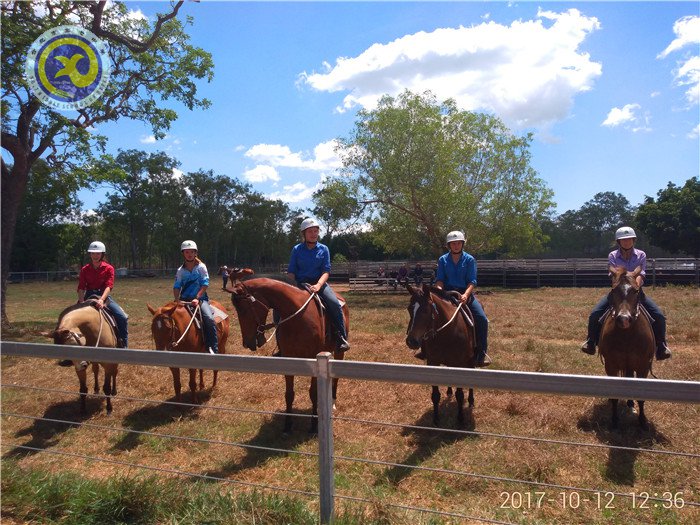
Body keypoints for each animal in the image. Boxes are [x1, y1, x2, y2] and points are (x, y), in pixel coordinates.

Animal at [228, 268, 348, 432]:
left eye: (244, 309)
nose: (247, 343)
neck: (298, 316)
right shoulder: (289, 358)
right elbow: (289, 394)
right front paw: (287, 425)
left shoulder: (315, 359)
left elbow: (313, 393)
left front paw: (313, 424)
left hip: (339, 351)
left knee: (335, 378)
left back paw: (333, 402)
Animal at [404, 282, 476, 426]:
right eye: (409, 309)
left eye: (426, 310)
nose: (411, 341)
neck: (447, 333)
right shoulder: (433, 362)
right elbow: (435, 395)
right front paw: (436, 419)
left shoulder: (459, 364)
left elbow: (460, 395)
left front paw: (460, 419)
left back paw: (471, 401)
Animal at [596, 264, 656, 428]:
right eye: (613, 290)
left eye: (636, 291)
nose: (624, 319)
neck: (627, 335)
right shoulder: (611, 365)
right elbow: (615, 394)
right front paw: (614, 420)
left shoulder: (643, 366)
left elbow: (640, 396)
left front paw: (642, 421)